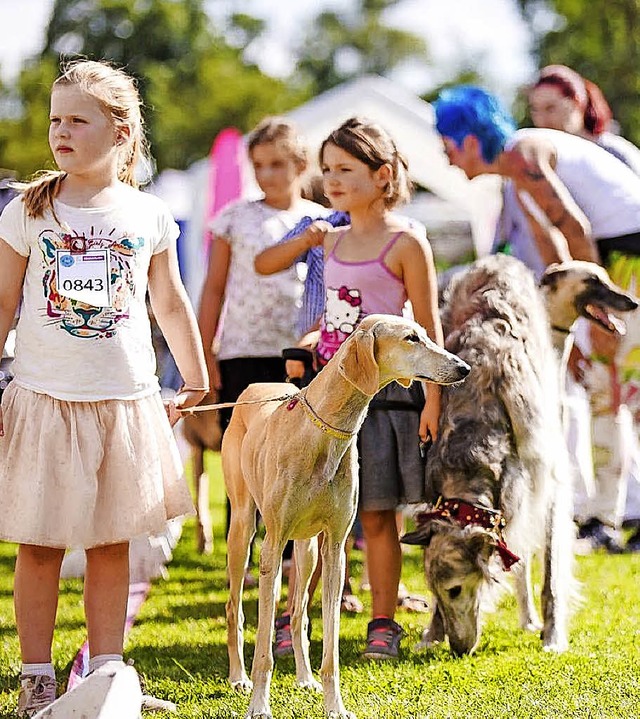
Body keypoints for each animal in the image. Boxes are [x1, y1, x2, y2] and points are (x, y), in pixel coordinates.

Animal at [221, 316, 470, 719]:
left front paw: (333, 705)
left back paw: (303, 677)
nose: (463, 368)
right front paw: (259, 705)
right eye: (410, 338)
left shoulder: (335, 548)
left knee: (298, 612)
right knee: (236, 608)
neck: (323, 430)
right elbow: (263, 648)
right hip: (244, 532)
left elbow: (331, 645)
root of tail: (255, 387)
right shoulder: (272, 547)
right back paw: (238, 676)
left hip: (306, 549)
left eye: (424, 333)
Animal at [404, 255, 576, 660]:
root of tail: (497, 258)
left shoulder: (547, 480)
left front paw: (552, 635)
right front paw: (430, 633)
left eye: (455, 589)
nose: (457, 649)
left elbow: (550, 574)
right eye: (434, 594)